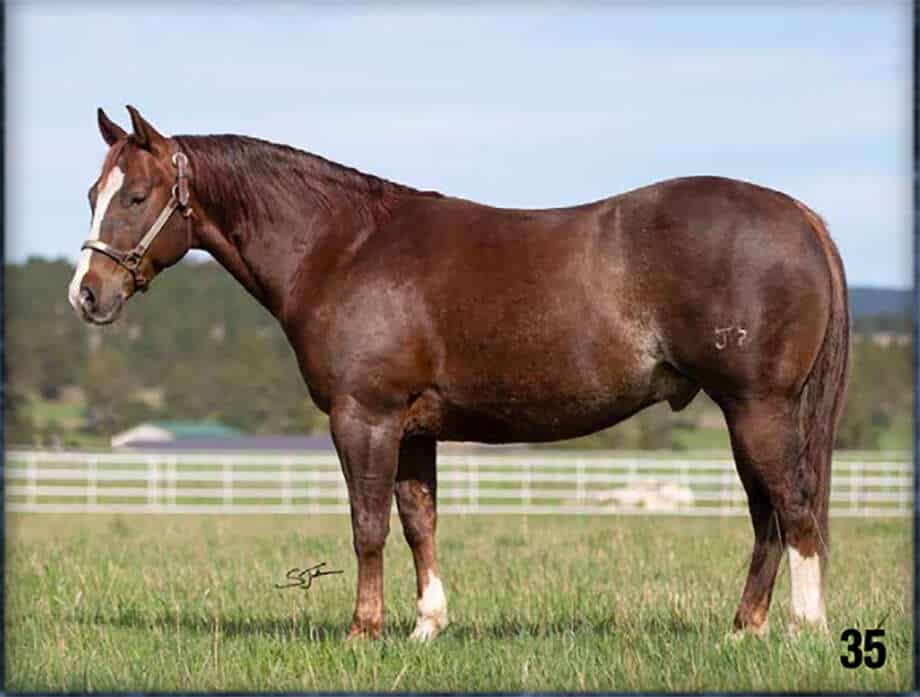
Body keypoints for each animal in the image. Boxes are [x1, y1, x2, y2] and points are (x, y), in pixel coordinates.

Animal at [69, 106, 849, 640]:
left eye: (135, 197)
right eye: (91, 194)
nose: (86, 294)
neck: (344, 247)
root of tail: (799, 215)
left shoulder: (365, 416)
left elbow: (367, 524)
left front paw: (362, 631)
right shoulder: (414, 428)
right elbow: (419, 521)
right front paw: (425, 626)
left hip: (758, 407)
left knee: (794, 506)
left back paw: (802, 629)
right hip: (748, 412)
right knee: (769, 516)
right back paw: (743, 630)